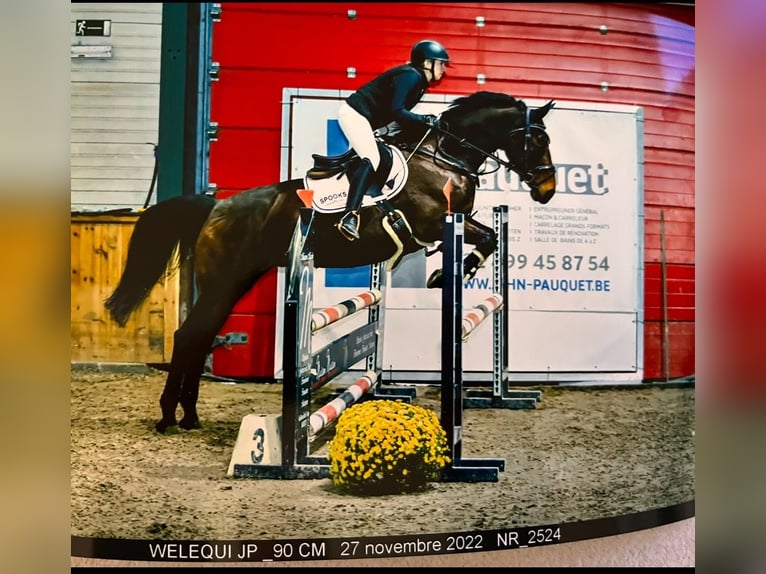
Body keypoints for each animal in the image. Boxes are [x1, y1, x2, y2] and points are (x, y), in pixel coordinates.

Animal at [103, 91, 560, 432]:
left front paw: (453, 271)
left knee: (199, 336)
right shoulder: (431, 223)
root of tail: (216, 206)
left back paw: (189, 416)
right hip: (223, 281)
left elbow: (490, 236)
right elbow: (480, 238)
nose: (547, 190)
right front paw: (443, 274)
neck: (444, 157)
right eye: (539, 140)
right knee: (188, 336)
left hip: (233, 283)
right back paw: (168, 417)